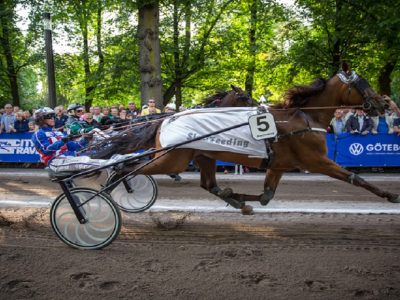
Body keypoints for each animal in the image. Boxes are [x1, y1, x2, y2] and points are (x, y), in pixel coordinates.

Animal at [93, 65, 396, 214]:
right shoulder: (316, 160)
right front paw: (391, 194)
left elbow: (266, 196)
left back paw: (239, 203)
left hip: (202, 156)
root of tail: (166, 120)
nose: (383, 103)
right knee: (128, 168)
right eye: (363, 84)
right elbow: (354, 177)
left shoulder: (278, 164)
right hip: (172, 158)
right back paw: (108, 192)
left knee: (208, 185)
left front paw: (237, 196)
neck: (305, 118)